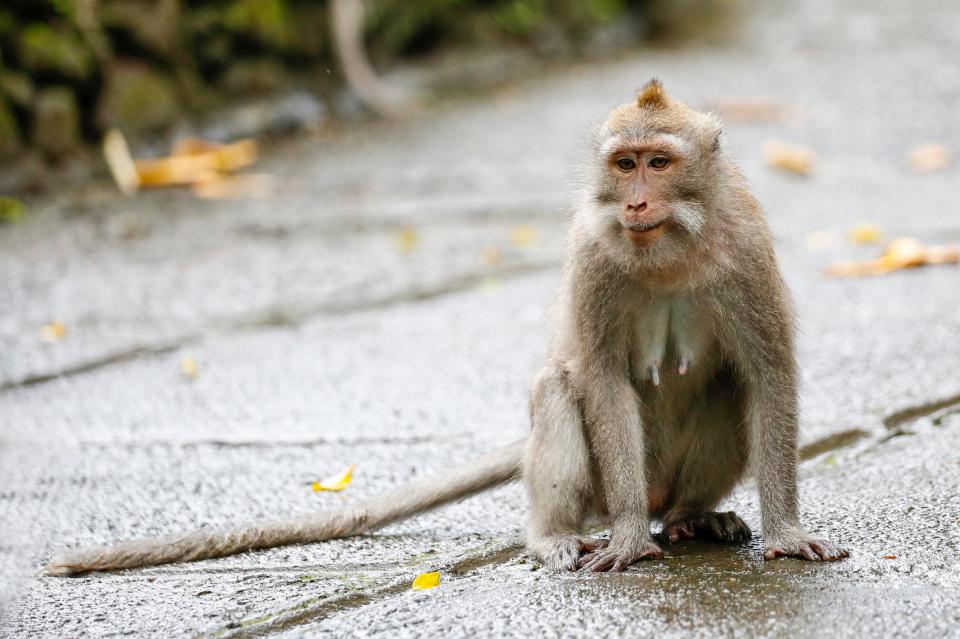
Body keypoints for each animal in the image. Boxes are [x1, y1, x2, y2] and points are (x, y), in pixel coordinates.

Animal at [47, 82, 848, 576]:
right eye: (624, 164)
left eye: (659, 160)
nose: (637, 202)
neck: (671, 251)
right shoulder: (592, 254)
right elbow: (601, 380)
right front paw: (624, 535)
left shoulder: (745, 250)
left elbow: (767, 372)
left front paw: (783, 532)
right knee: (559, 391)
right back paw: (558, 535)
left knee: (726, 386)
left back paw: (689, 516)